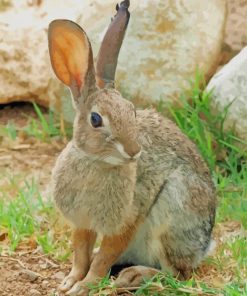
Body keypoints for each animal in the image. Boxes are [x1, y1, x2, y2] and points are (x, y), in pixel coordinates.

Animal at [47, 1, 216, 294]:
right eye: (96, 119)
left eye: (132, 111)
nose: (134, 150)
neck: (95, 162)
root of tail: (203, 248)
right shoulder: (82, 222)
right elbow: (81, 254)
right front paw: (69, 282)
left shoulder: (127, 220)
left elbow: (104, 257)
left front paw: (85, 285)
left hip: (173, 212)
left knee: (177, 273)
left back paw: (134, 277)